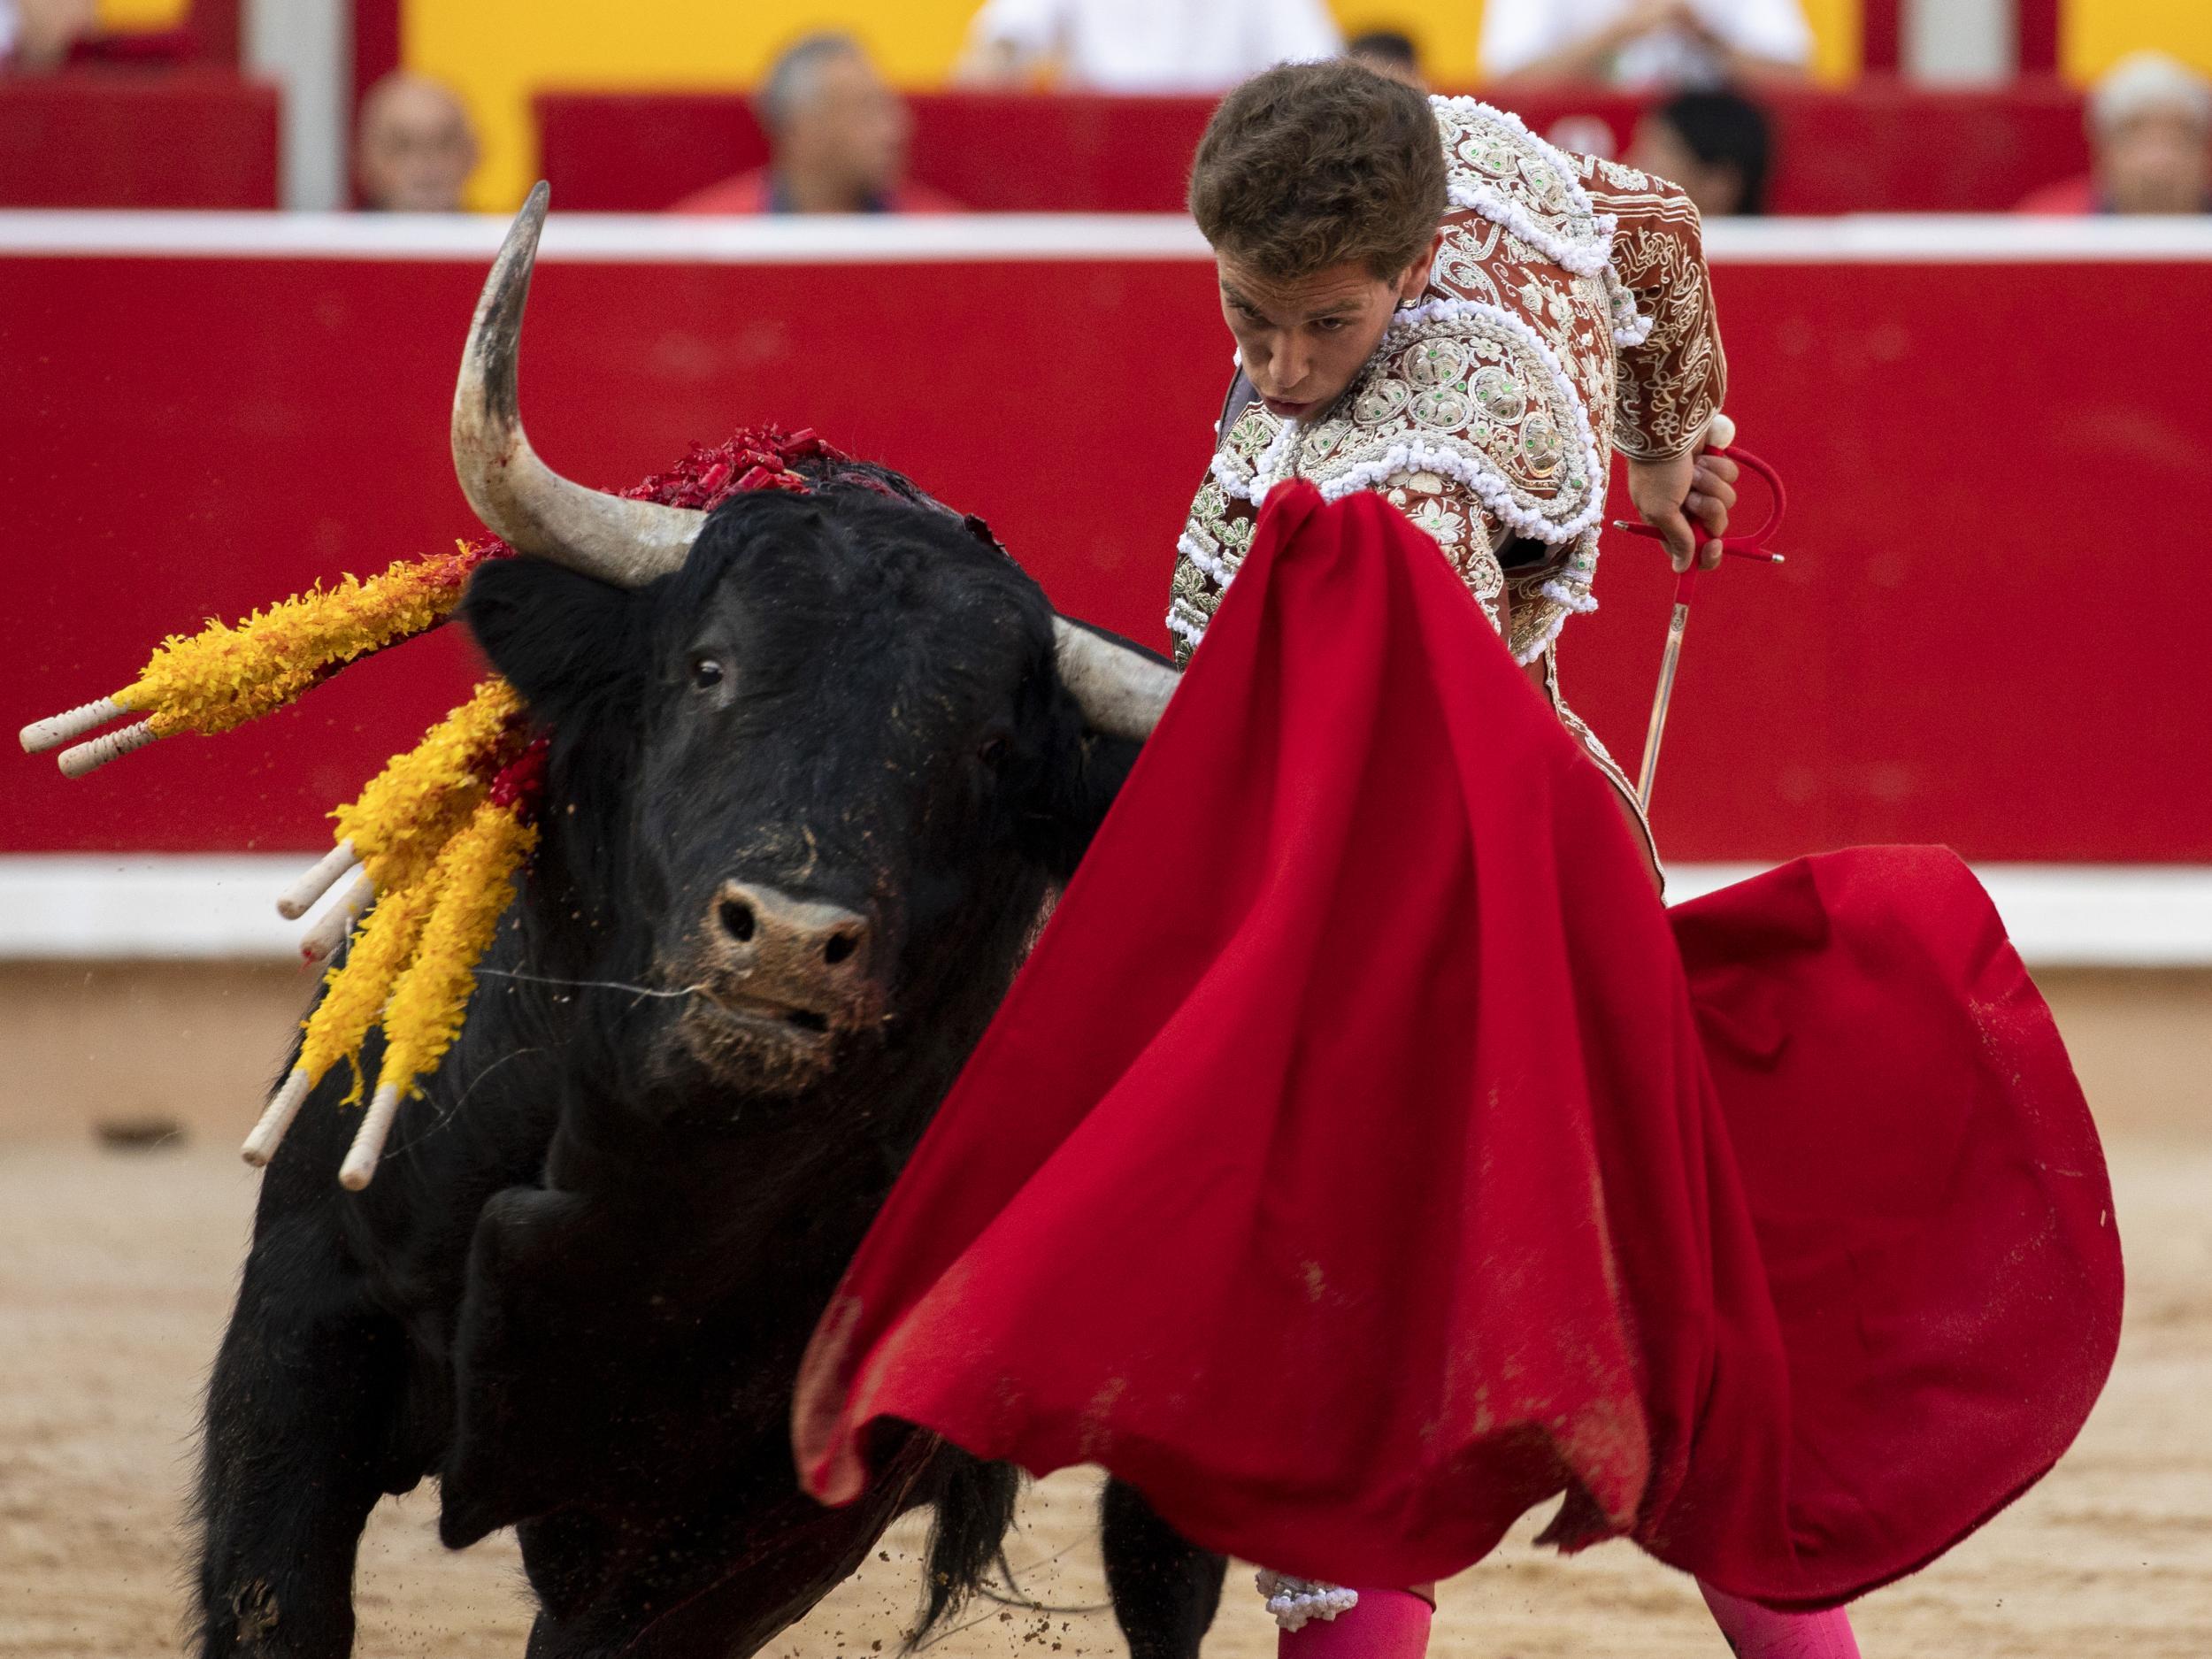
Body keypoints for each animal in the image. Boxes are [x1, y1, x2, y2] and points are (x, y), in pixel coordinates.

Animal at [195, 471, 1230, 1659]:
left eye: (991, 748)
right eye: (706, 667)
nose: (786, 938)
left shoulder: (763, 1514)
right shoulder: (305, 1321)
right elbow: (276, 1601)